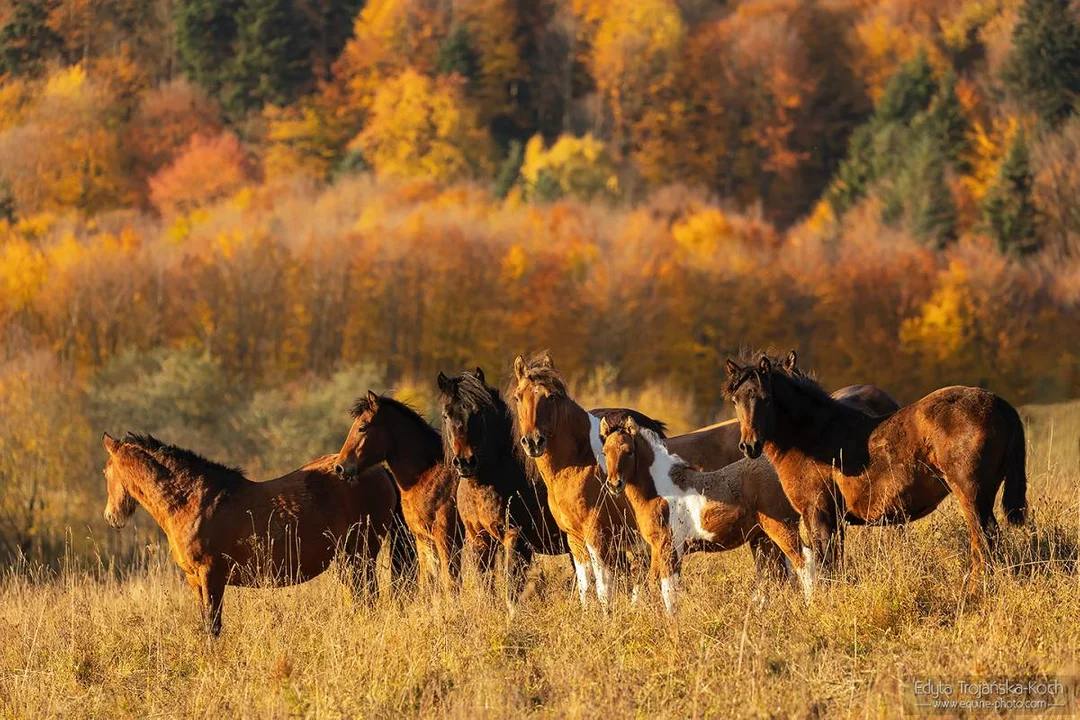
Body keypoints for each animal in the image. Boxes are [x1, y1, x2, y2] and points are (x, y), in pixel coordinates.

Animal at [101, 431, 414, 634]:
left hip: (361, 555)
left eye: (105, 472)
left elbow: (213, 625)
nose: (111, 517)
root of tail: (379, 471)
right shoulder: (194, 579)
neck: (193, 500)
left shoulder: (211, 575)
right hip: (349, 560)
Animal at [336, 395, 464, 591]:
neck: (428, 475)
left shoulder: (447, 540)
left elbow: (451, 584)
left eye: (362, 427)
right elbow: (428, 583)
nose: (340, 467)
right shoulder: (423, 540)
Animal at [436, 367, 570, 608]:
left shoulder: (515, 538)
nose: (465, 462)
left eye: (478, 412)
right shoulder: (479, 539)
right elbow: (485, 584)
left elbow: (511, 586)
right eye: (446, 415)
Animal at [600, 414, 812, 617]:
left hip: (781, 528)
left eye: (629, 451)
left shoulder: (670, 548)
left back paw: (811, 606)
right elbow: (652, 584)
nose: (614, 484)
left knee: (804, 563)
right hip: (763, 539)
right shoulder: (656, 549)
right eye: (604, 452)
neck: (660, 490)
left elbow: (669, 591)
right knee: (776, 576)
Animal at [725, 351, 1028, 578]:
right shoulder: (834, 520)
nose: (749, 446)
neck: (813, 436)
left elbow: (825, 565)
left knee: (983, 540)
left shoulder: (818, 514)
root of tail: (998, 403)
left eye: (765, 398)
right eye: (736, 400)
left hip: (971, 494)